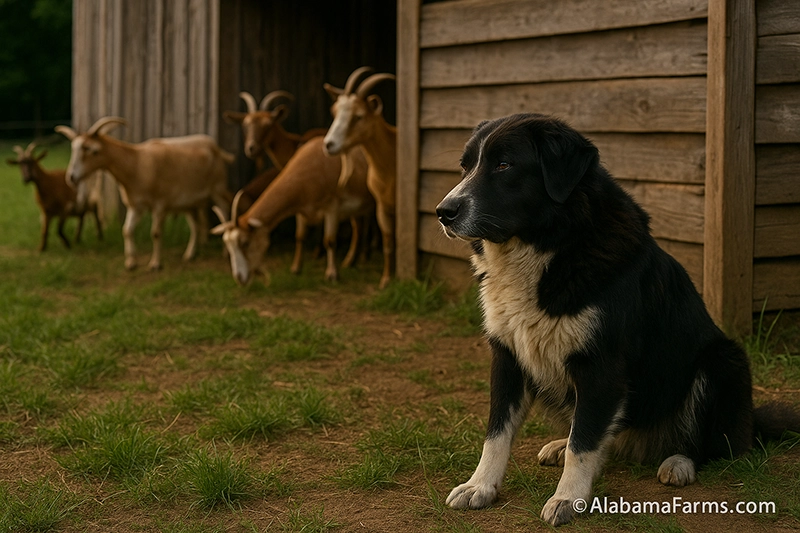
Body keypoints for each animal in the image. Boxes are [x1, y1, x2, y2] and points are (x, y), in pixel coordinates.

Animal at [56, 117, 233, 271]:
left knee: (225, 210)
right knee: (195, 225)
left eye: (92, 150)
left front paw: (155, 264)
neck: (136, 164)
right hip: (189, 201)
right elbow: (127, 231)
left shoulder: (160, 204)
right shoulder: (135, 206)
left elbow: (155, 233)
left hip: (217, 188)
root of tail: (216, 147)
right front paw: (131, 263)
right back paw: (190, 254)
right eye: (74, 149)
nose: (71, 177)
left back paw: (226, 253)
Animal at [211, 136, 374, 285]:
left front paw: (332, 274)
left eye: (245, 243)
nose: (239, 278)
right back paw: (351, 261)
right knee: (358, 227)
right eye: (228, 246)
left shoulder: (332, 206)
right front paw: (296, 268)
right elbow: (300, 236)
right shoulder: (300, 210)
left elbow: (330, 241)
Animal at [323, 66, 397, 289]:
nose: (328, 144)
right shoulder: (382, 206)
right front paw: (386, 279)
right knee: (358, 226)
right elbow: (388, 242)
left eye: (359, 116)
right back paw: (351, 260)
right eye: (334, 111)